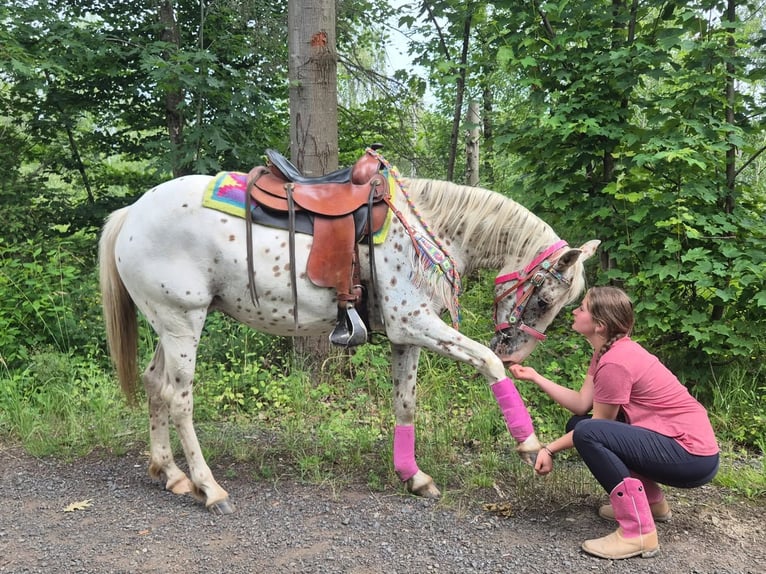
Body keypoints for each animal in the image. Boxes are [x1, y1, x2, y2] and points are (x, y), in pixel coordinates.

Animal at [99, 156, 599, 515]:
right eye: (544, 301)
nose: (517, 352)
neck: (431, 229)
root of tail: (132, 213)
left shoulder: (405, 336)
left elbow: (405, 403)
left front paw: (413, 476)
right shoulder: (416, 323)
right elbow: (486, 362)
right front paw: (529, 444)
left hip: (167, 323)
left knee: (154, 385)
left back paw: (171, 474)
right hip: (184, 321)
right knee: (179, 399)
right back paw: (210, 487)